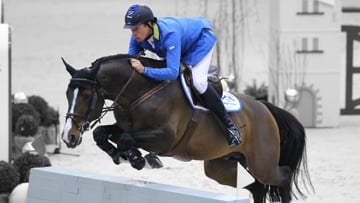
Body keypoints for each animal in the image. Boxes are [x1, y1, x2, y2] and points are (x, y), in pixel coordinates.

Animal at [61, 53, 312, 202]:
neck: (140, 92)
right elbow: (102, 133)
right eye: (67, 94)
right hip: (220, 166)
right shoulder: (124, 127)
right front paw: (123, 157)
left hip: (262, 163)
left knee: (282, 177)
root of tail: (265, 108)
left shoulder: (165, 138)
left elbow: (126, 140)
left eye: (86, 95)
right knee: (257, 187)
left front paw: (139, 159)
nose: (68, 137)